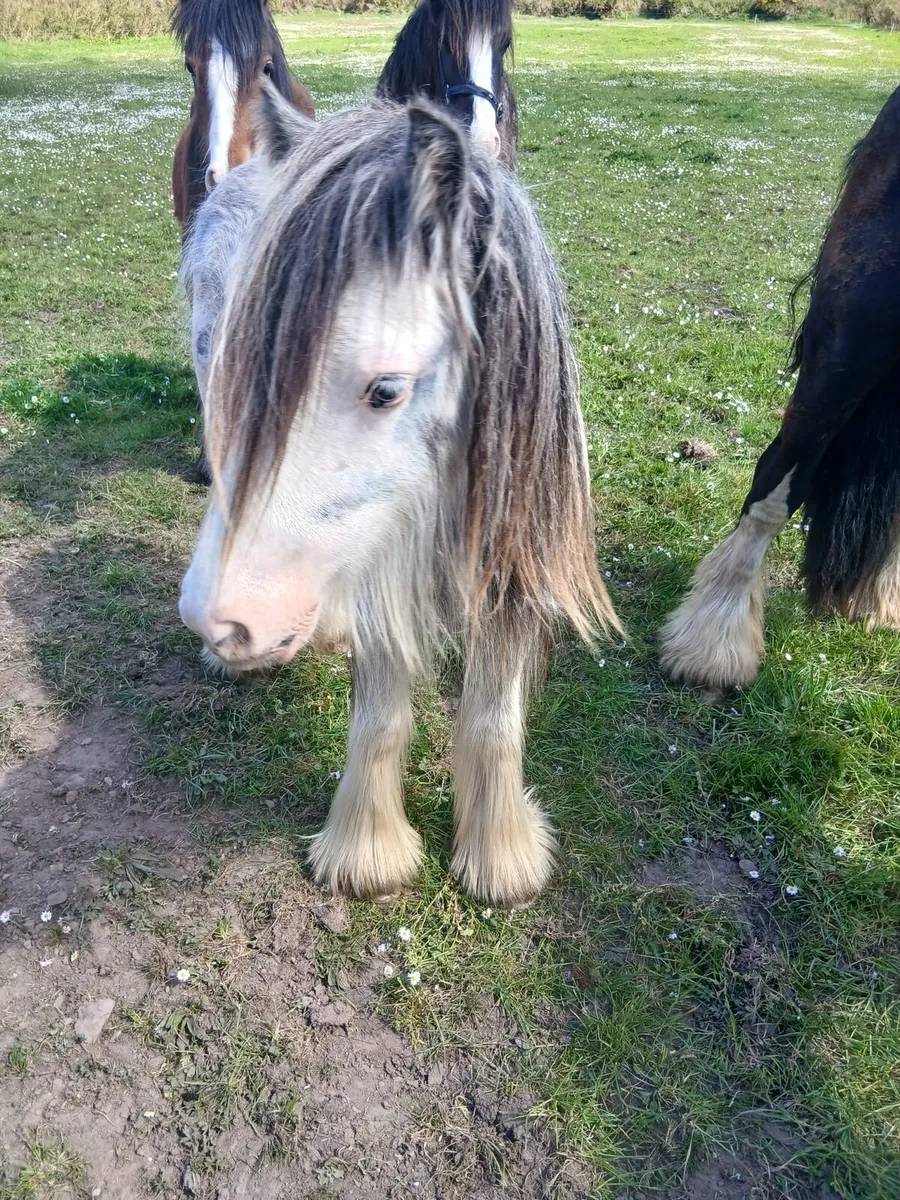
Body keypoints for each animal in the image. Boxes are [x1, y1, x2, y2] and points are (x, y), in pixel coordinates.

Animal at [178, 88, 619, 906]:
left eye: (387, 389)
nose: (215, 619)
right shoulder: (380, 556)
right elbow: (380, 719)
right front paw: (368, 854)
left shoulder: (509, 568)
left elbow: (492, 721)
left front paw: (500, 858)